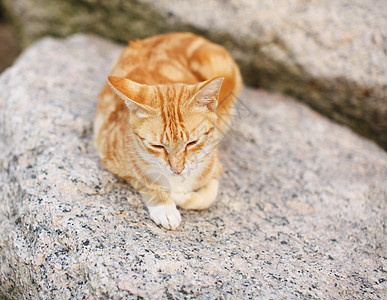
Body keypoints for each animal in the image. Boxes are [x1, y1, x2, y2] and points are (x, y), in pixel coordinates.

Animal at [94, 32, 242, 230]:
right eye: (158, 146)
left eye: (192, 142)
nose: (177, 170)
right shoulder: (108, 153)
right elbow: (147, 181)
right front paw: (165, 207)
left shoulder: (215, 168)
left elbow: (207, 197)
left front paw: (180, 196)